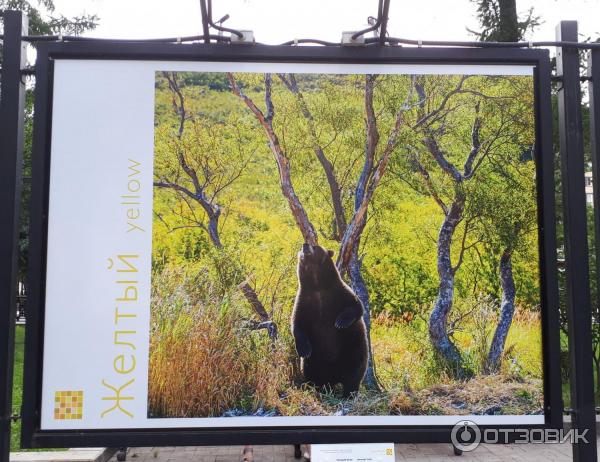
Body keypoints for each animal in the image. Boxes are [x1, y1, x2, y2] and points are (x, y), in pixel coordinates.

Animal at [292, 242, 370, 398]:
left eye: (315, 246)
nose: (305, 245)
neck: (317, 286)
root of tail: (334, 378)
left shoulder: (340, 293)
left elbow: (357, 307)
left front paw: (340, 322)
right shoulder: (304, 301)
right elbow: (297, 324)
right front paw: (304, 350)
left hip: (352, 348)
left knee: (354, 372)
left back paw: (348, 393)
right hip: (317, 360)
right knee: (310, 371)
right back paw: (318, 389)